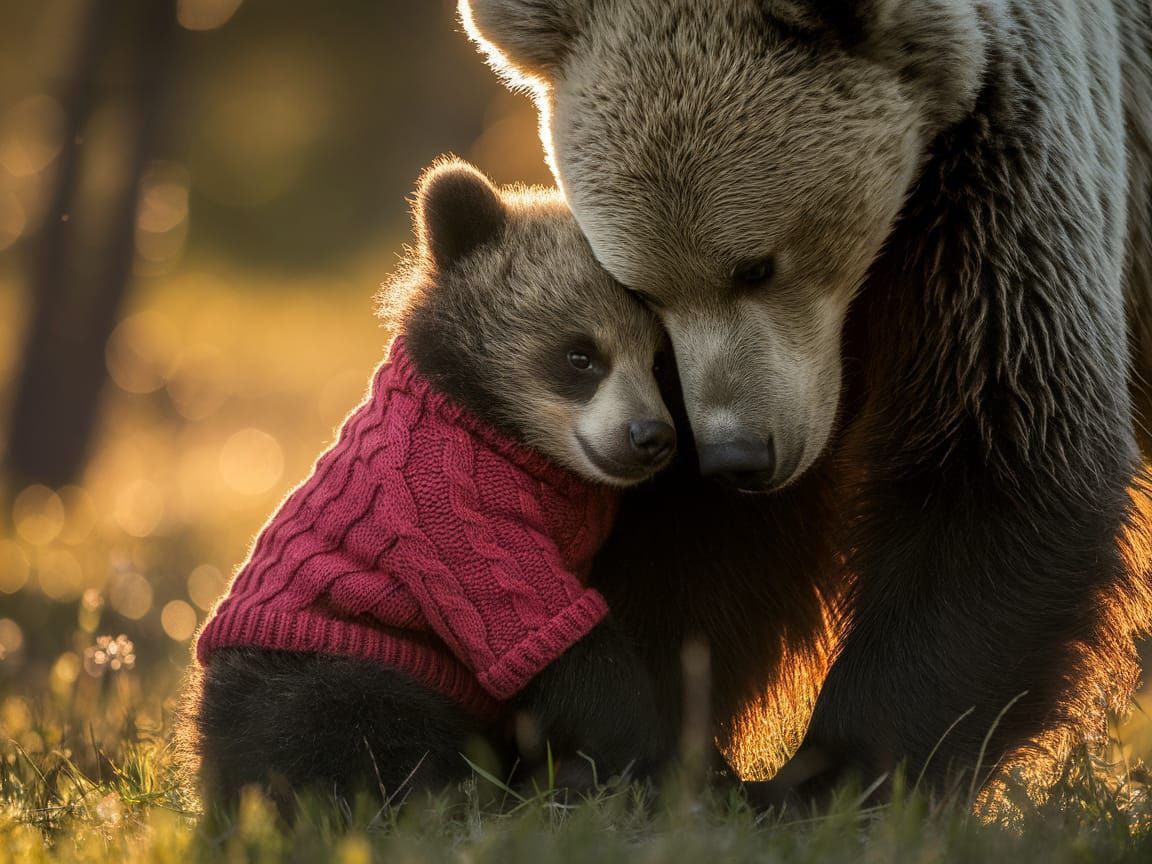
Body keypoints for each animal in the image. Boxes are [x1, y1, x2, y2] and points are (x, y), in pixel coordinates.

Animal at [186, 159, 681, 811]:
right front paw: (644, 753)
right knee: (353, 726)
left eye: (660, 361)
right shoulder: (451, 517)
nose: (649, 436)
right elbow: (547, 636)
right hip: (324, 658)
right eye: (581, 355)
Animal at [461, 0, 1152, 802]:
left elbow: (995, 461)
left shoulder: (995, 191)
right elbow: (702, 549)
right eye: (642, 291)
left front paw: (831, 773)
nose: (738, 455)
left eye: (756, 266)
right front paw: (612, 756)